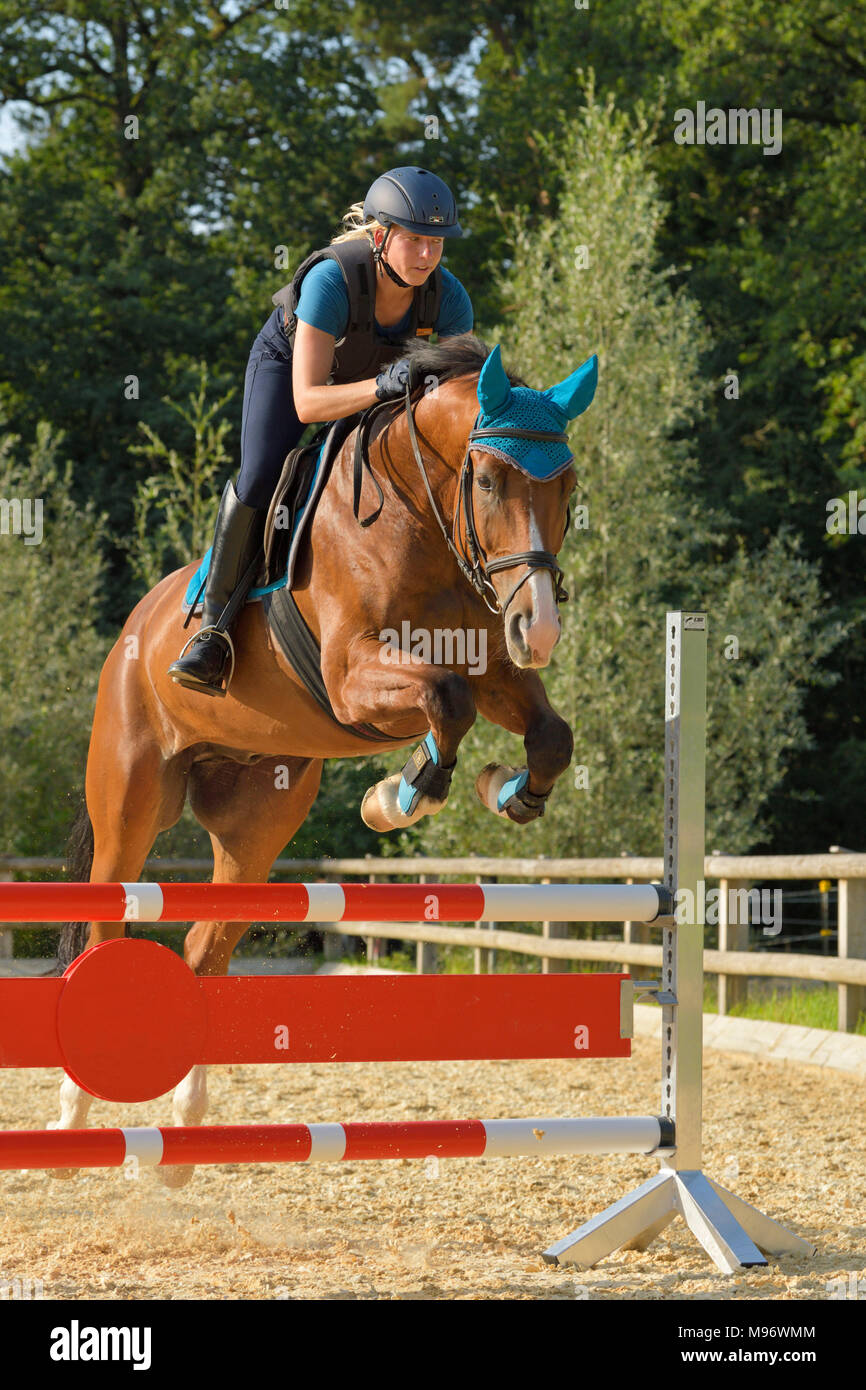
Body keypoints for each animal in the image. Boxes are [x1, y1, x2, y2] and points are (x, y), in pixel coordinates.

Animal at [52, 328, 594, 1184]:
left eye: (566, 484)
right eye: (487, 478)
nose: (537, 629)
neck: (419, 513)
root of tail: (135, 625)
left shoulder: (491, 665)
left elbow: (546, 734)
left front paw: (505, 792)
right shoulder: (353, 675)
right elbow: (446, 701)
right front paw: (402, 795)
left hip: (257, 823)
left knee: (205, 949)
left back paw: (180, 1140)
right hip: (131, 799)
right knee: (105, 931)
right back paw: (75, 1120)